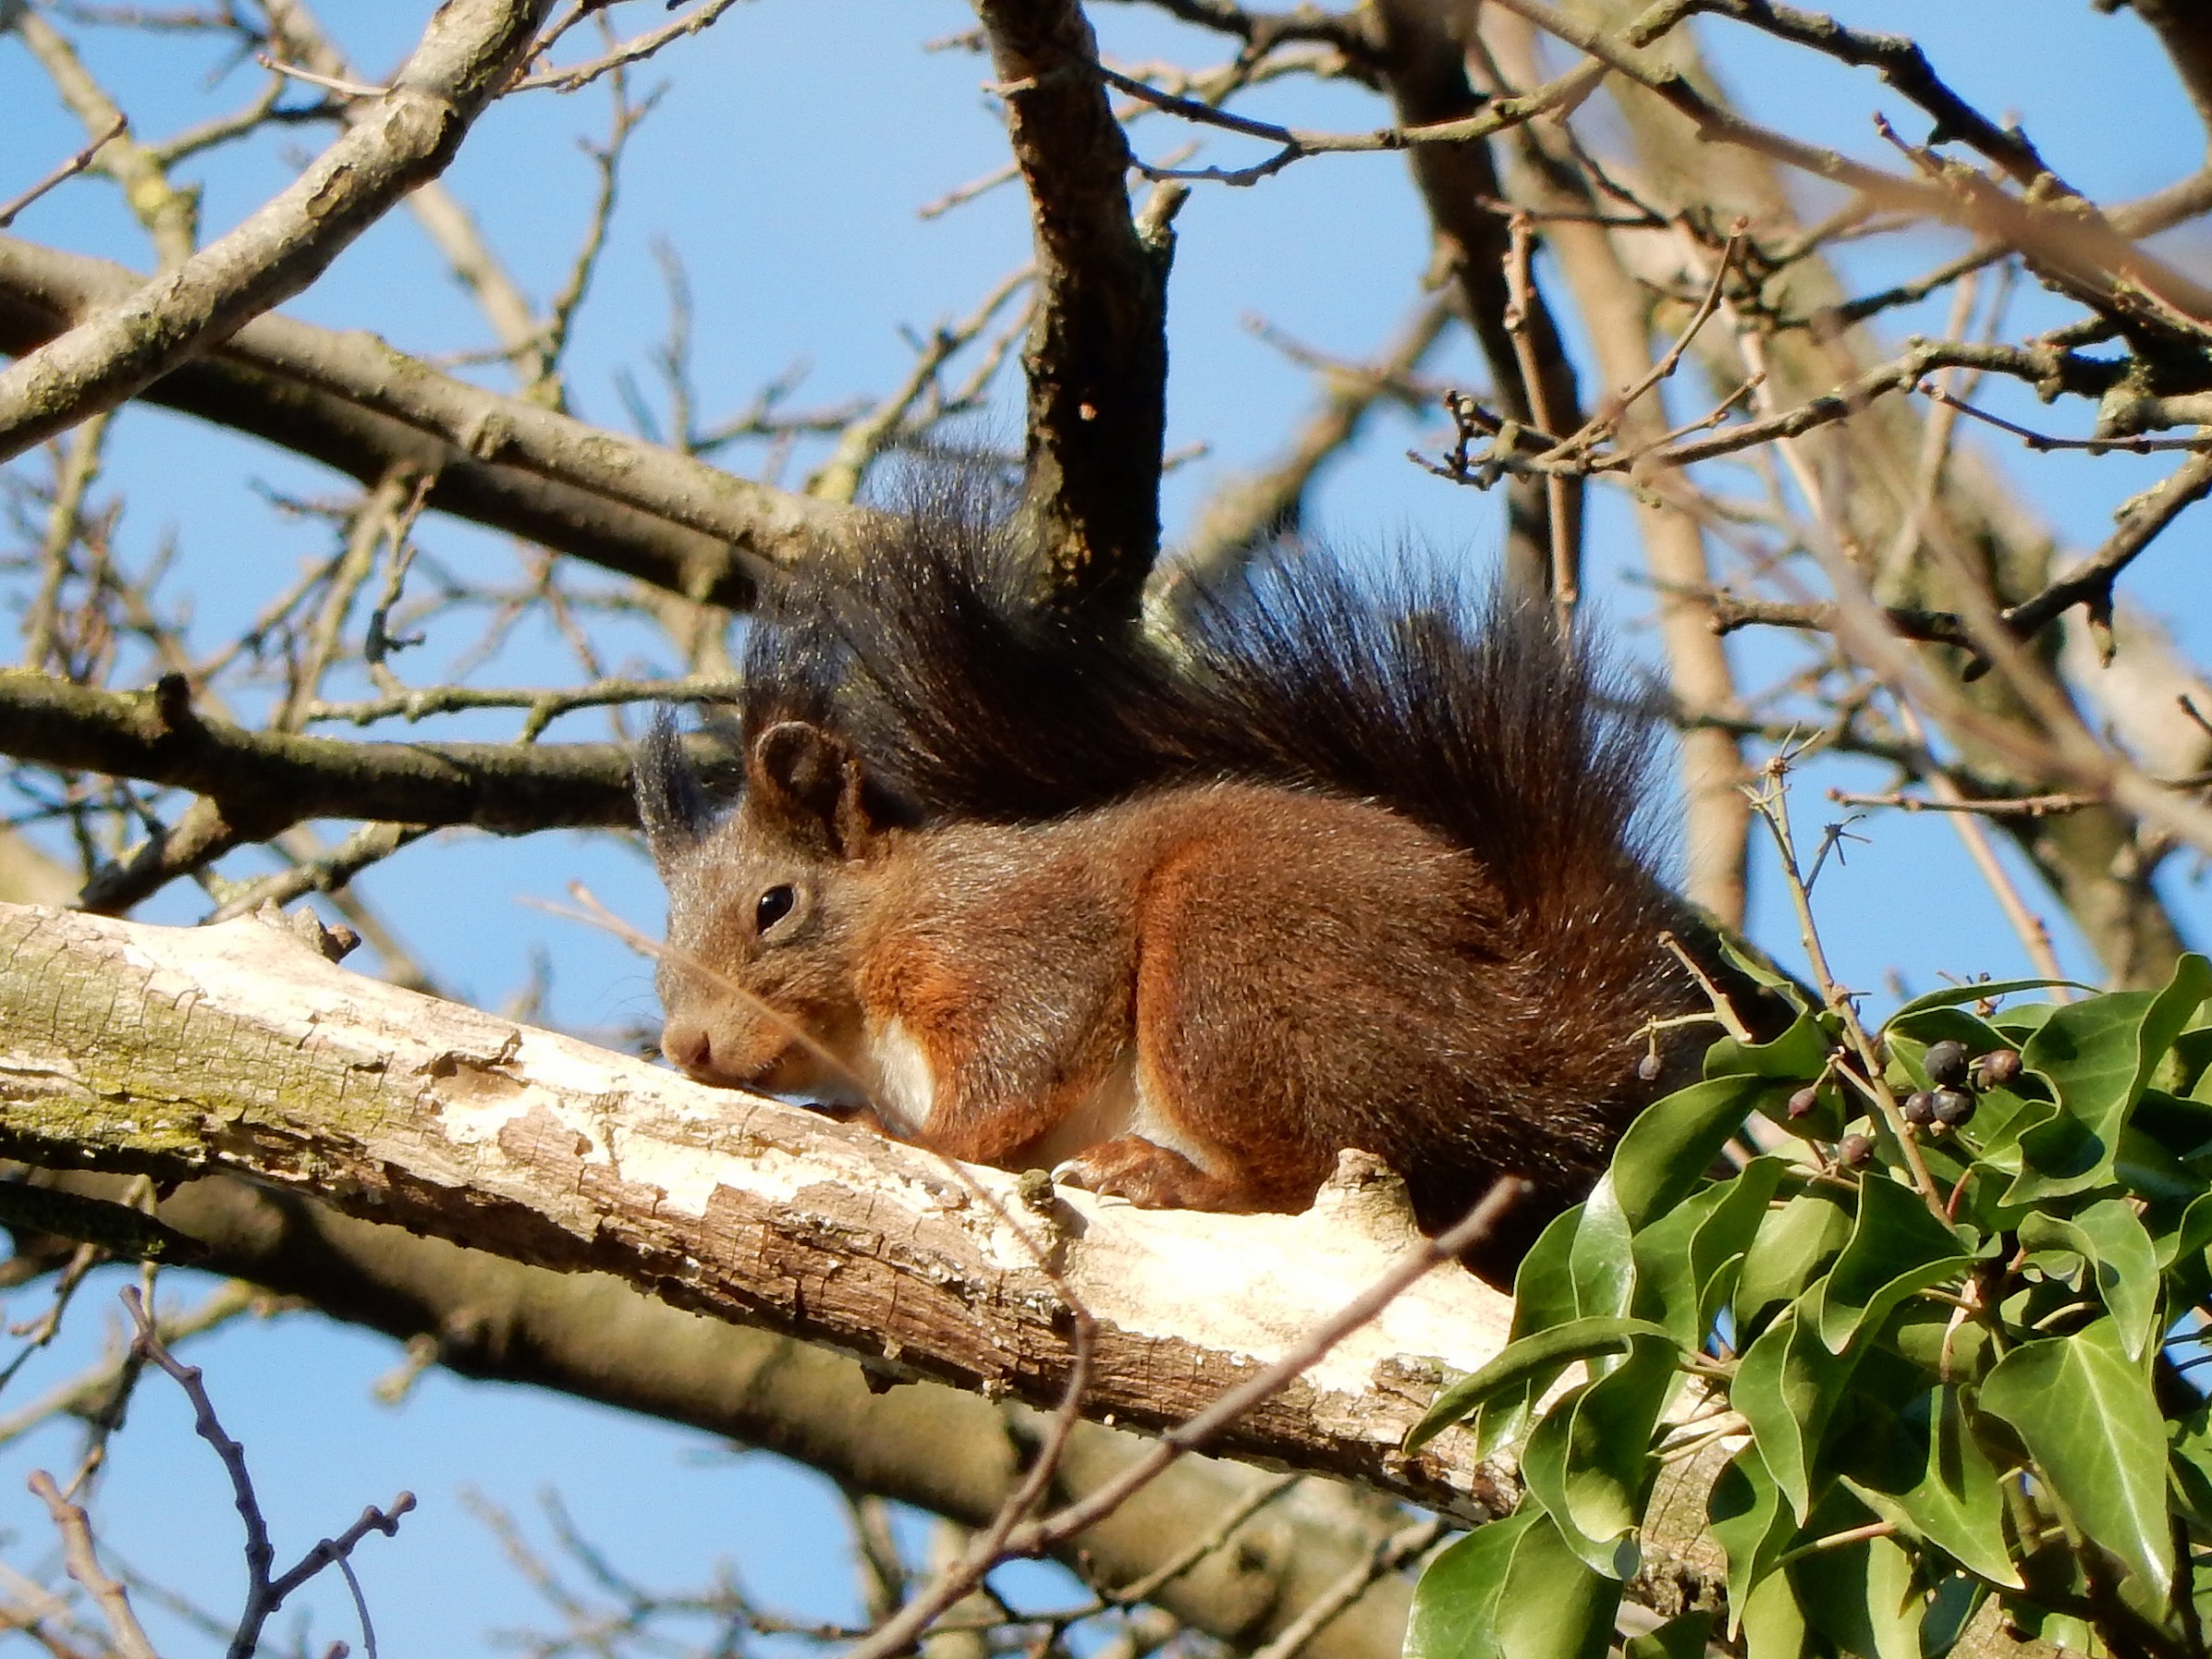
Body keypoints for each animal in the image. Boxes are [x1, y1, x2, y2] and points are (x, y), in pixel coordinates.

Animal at [635, 490, 1768, 1279]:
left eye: (775, 906)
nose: (686, 1048)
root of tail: (1528, 1044)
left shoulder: (1004, 936)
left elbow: (1021, 1060)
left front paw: (911, 1137)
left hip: (1230, 968)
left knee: (1299, 1178)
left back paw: (1165, 1174)